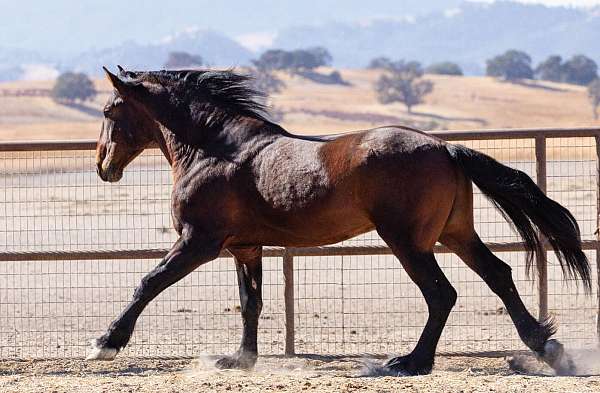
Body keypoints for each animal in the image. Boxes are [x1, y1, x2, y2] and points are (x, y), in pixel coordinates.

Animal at [91, 66, 592, 376]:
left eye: (108, 110)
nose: (103, 167)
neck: (216, 149)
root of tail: (445, 148)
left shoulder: (198, 241)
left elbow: (148, 282)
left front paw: (106, 342)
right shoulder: (245, 248)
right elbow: (250, 302)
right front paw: (240, 360)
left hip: (408, 241)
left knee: (442, 294)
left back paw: (409, 363)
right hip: (455, 233)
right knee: (498, 275)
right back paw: (548, 348)